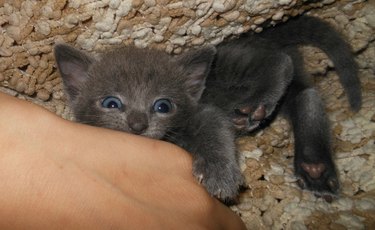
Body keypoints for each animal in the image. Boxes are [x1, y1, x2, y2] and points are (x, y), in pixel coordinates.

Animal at [55, 15, 362, 202]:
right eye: (111, 103)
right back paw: (315, 167)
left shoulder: (201, 112)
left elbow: (213, 129)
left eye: (163, 105)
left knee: (281, 62)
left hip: (227, 62)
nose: (138, 124)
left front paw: (219, 175)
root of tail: (262, 33)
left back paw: (257, 105)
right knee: (304, 93)